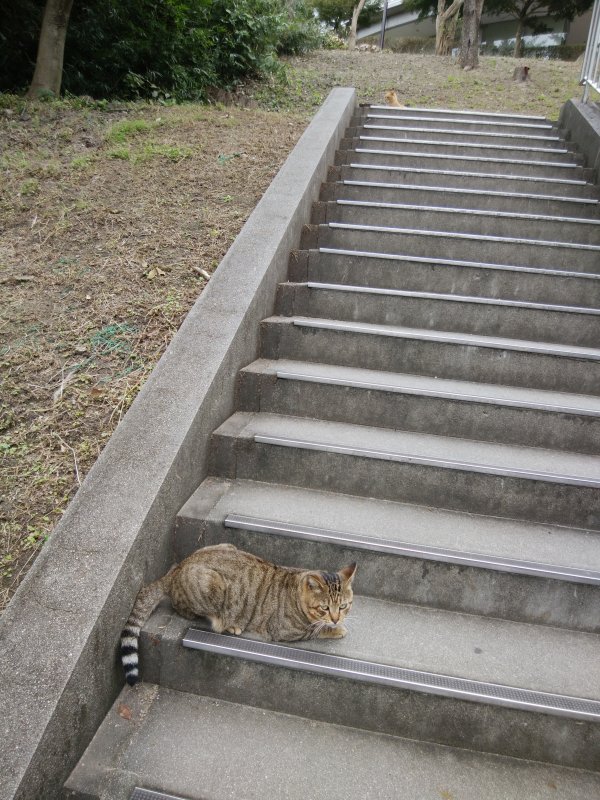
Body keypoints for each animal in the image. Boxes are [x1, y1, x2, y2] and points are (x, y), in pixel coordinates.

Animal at [121, 544, 356, 688]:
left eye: (344, 606)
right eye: (324, 608)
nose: (336, 618)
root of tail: (177, 569)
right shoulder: (285, 631)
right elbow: (314, 630)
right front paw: (336, 629)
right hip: (212, 587)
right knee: (188, 611)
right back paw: (229, 625)